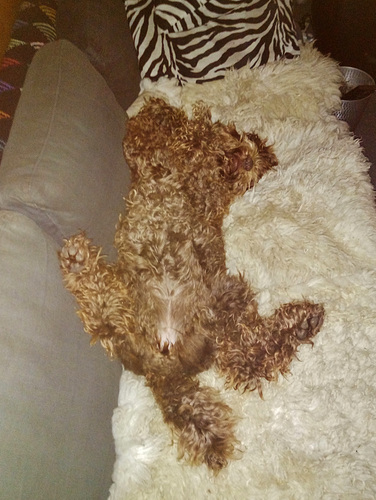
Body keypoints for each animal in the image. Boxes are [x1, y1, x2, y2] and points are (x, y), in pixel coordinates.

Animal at [60, 97, 324, 472]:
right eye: (243, 137)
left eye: (256, 165)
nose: (248, 159)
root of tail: (162, 363)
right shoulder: (155, 157)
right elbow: (174, 135)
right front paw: (177, 117)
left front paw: (179, 119)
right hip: (197, 304)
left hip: (218, 301)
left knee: (249, 359)